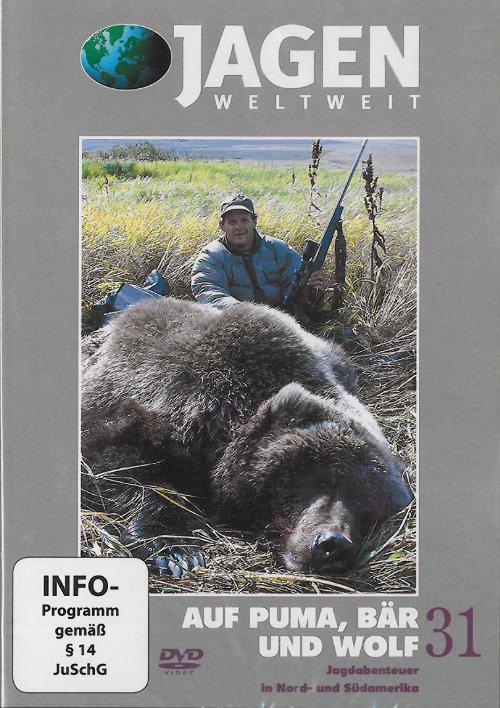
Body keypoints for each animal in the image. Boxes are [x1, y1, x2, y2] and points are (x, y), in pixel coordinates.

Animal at [81, 297, 414, 577]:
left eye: (369, 512)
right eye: (327, 478)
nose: (334, 544)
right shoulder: (155, 399)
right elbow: (118, 462)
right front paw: (176, 551)